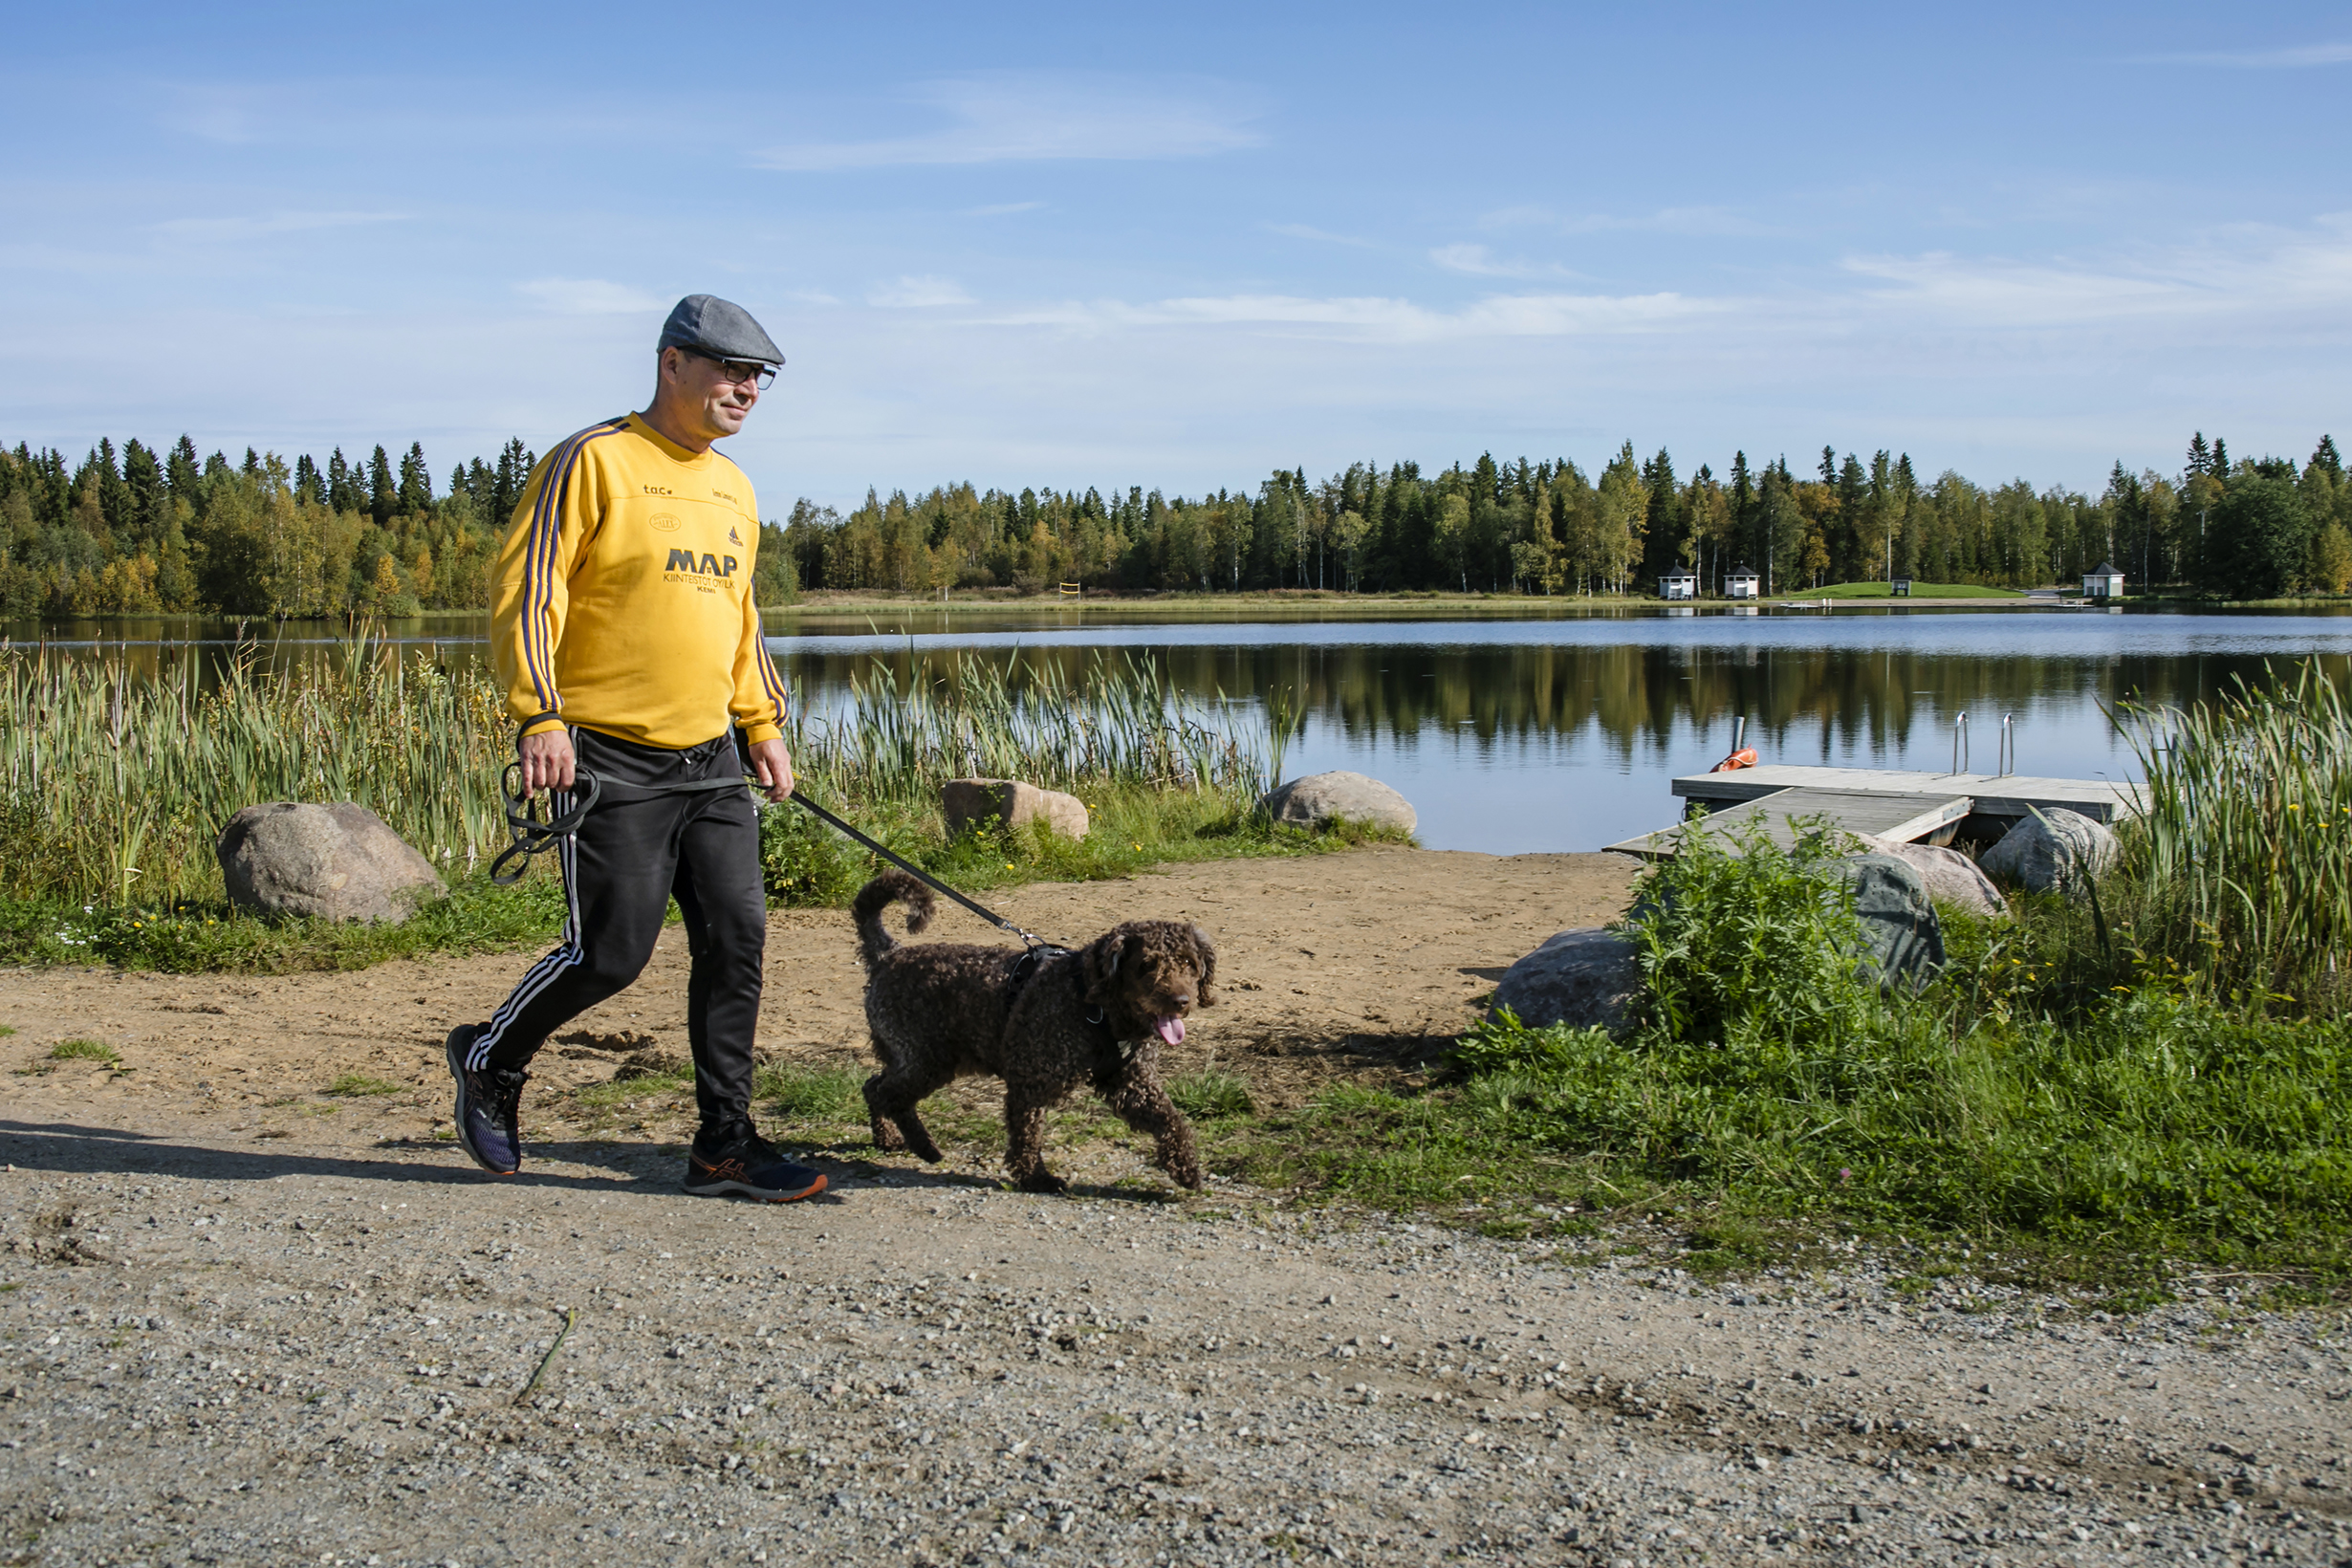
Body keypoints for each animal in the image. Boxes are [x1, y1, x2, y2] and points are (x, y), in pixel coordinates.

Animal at [846, 869, 1213, 1189]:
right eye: (1146, 964)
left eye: (1187, 962)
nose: (1181, 1001)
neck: (1096, 1006)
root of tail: (888, 955)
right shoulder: (1031, 1081)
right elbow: (1027, 1134)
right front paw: (1035, 1178)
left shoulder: (1133, 1085)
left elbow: (1171, 1120)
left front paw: (1186, 1169)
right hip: (927, 1061)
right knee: (888, 1095)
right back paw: (923, 1146)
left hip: (909, 1059)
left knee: (873, 1086)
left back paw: (888, 1138)